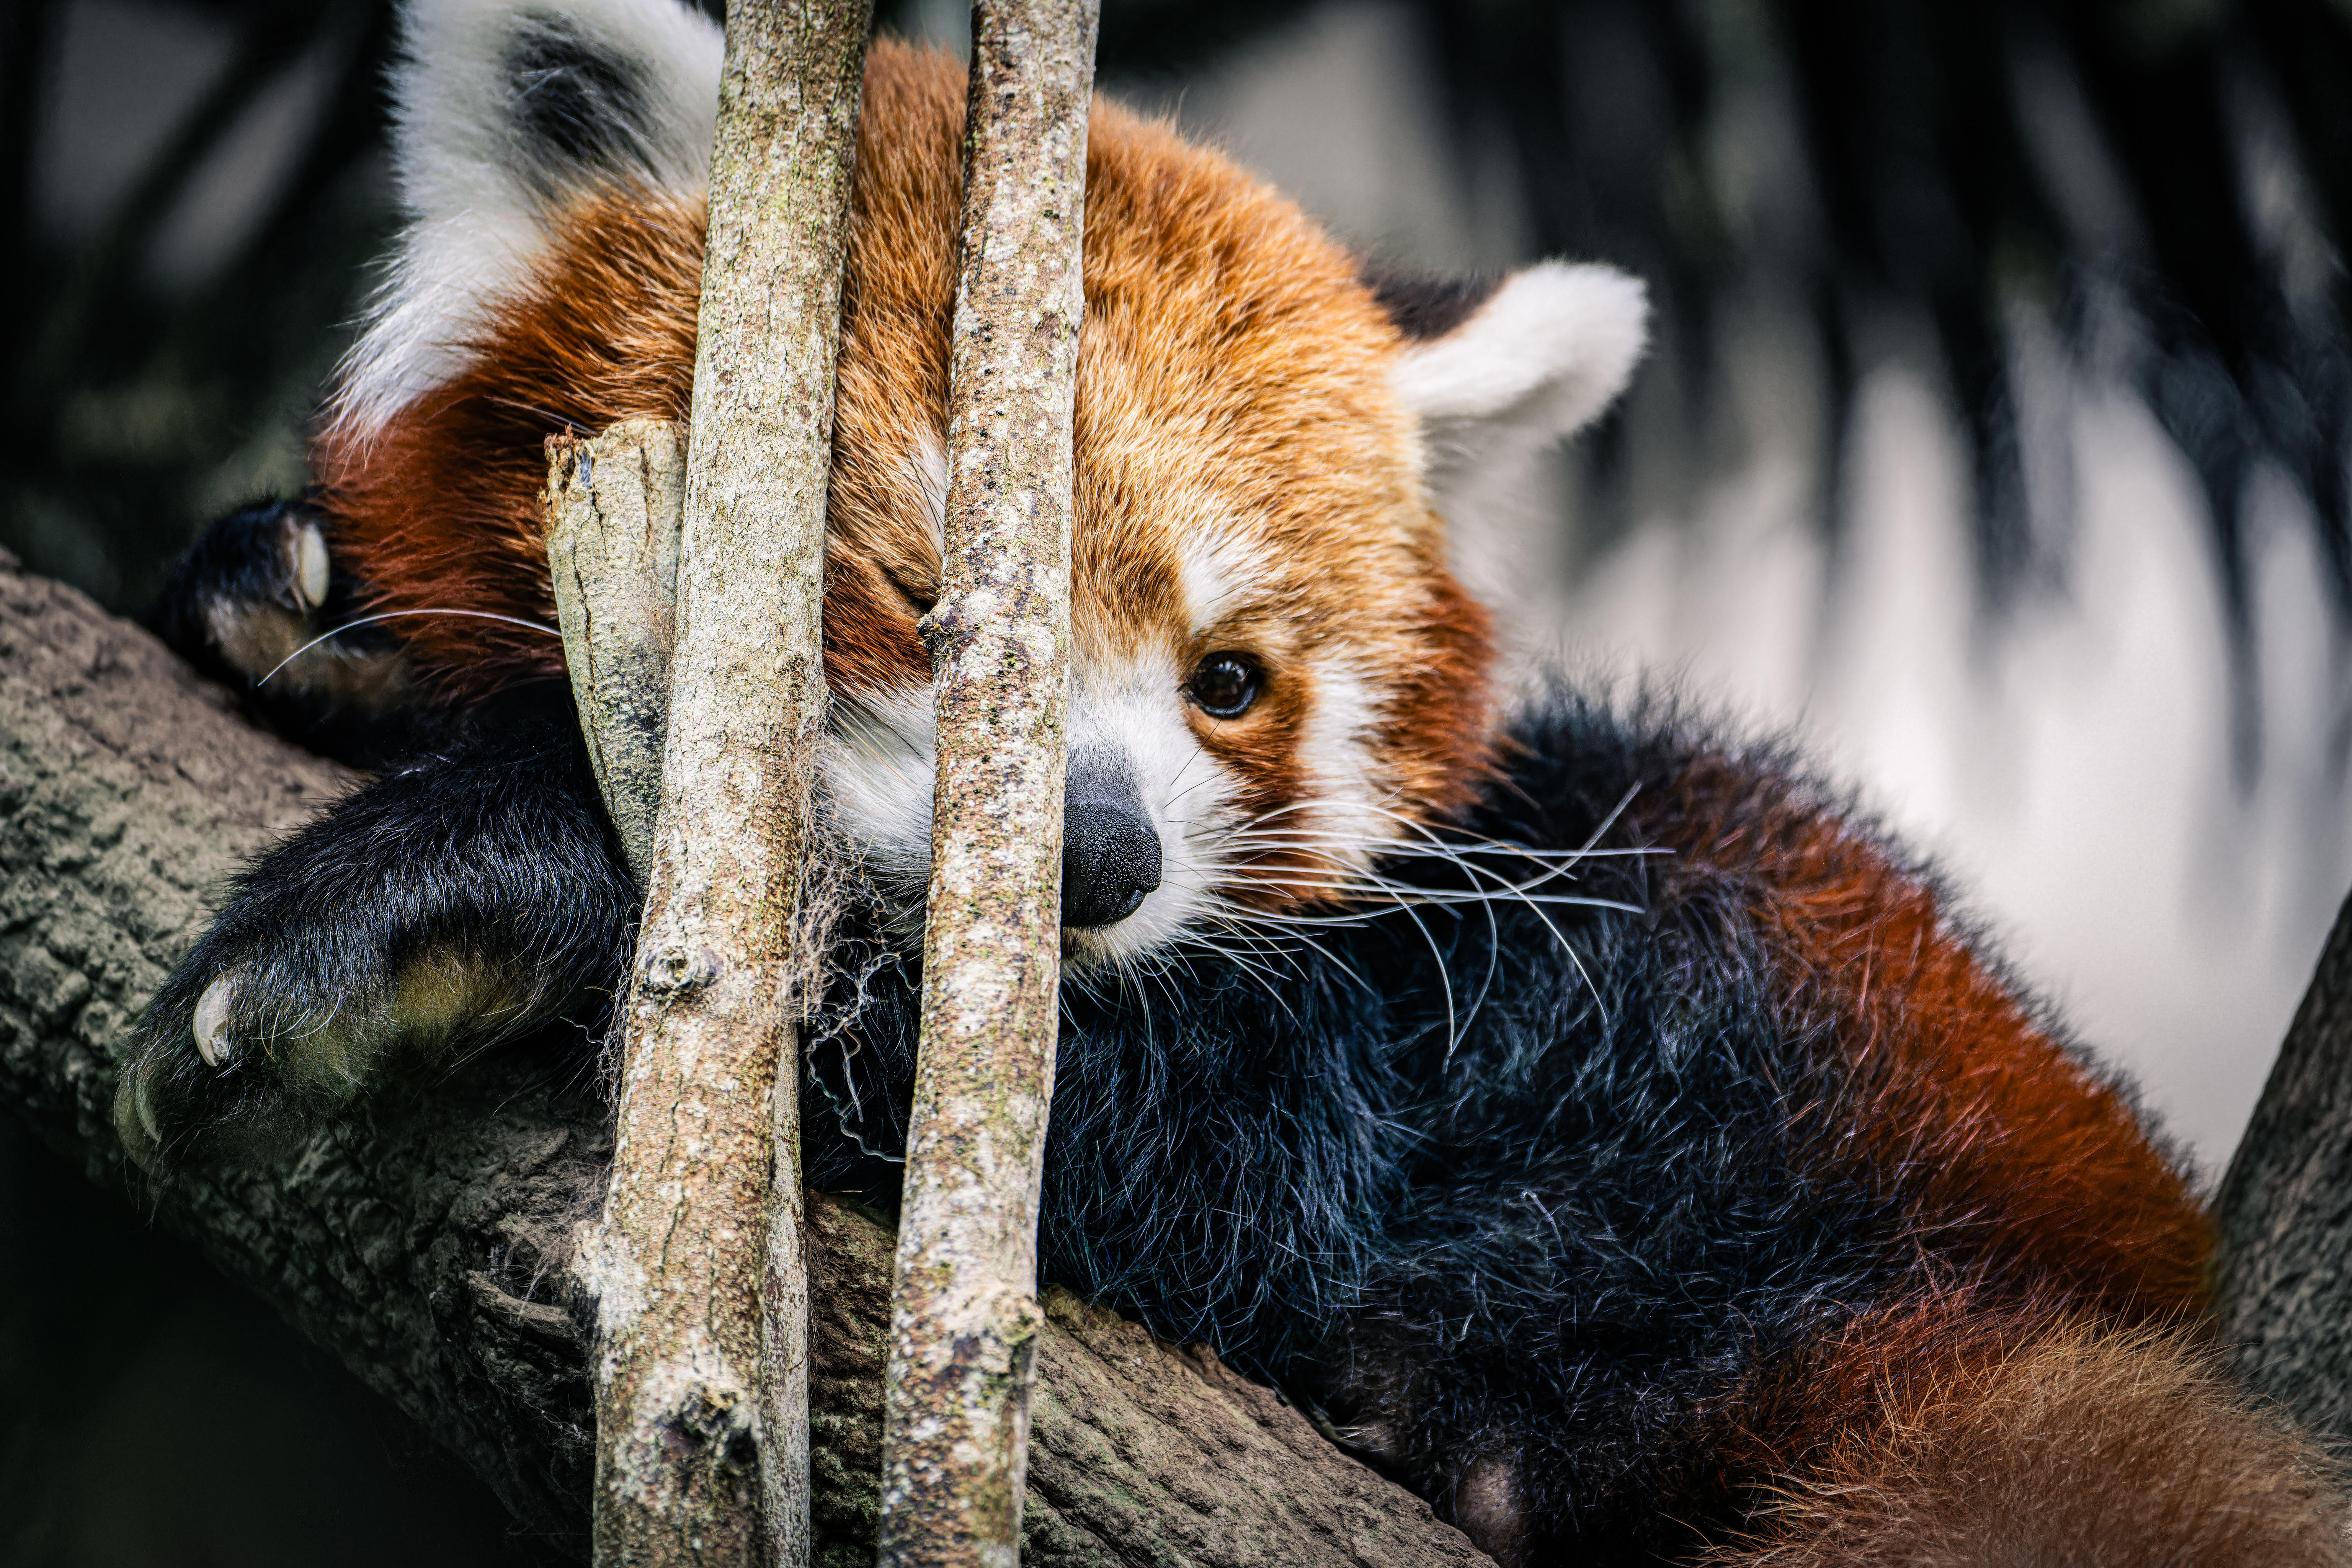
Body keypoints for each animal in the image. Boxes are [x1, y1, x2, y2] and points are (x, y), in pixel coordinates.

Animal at [124, 3, 2352, 1568]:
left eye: (1227, 684)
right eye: (928, 596)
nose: (1095, 861)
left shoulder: (1370, 999)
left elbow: (1218, 1168)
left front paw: (461, 886)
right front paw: (304, 609)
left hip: (1799, 1024)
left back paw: (1467, 1429)